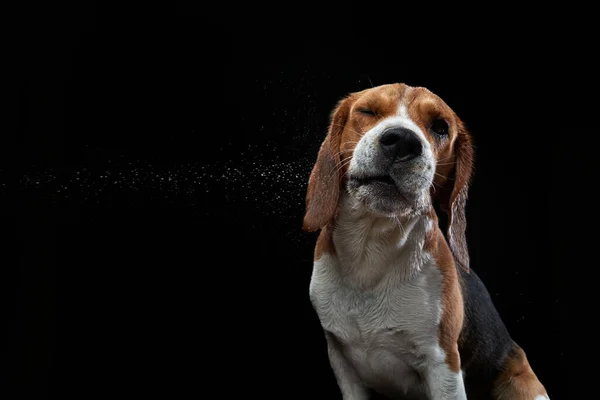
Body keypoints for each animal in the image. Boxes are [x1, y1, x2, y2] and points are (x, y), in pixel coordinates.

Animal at [304, 83, 548, 398]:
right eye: (368, 111)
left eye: (440, 127)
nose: (402, 142)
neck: (369, 255)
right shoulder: (343, 365)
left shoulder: (443, 365)